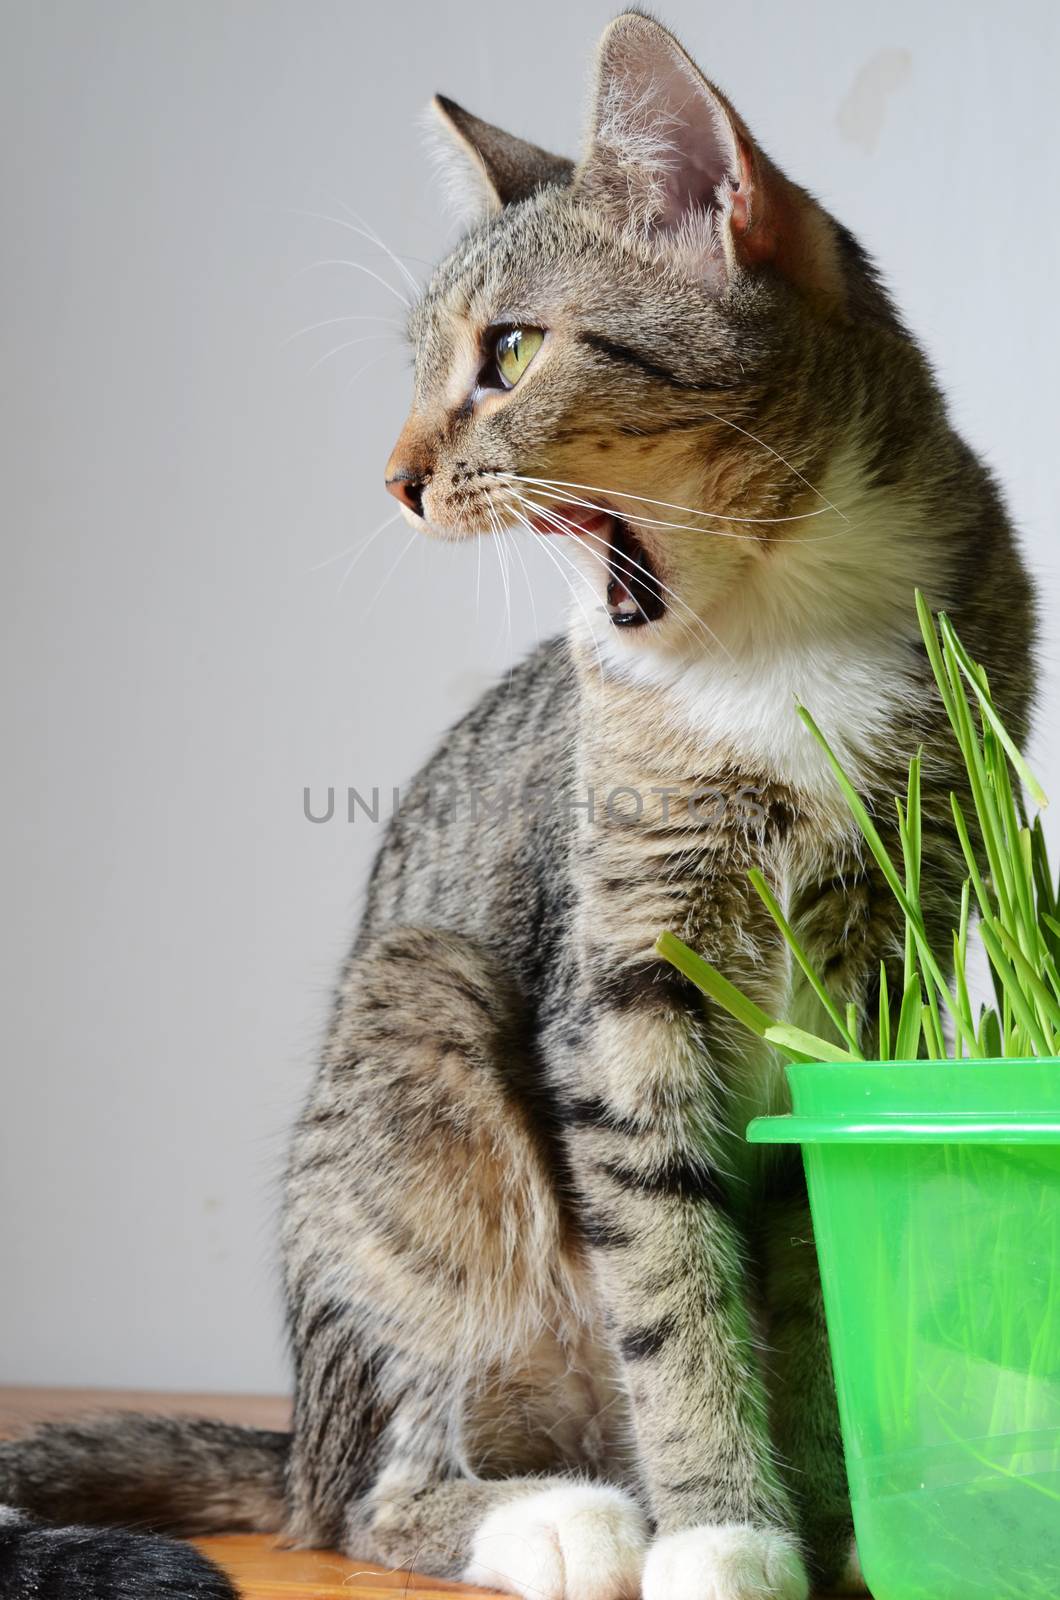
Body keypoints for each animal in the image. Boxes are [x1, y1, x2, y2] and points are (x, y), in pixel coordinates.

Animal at [0, 15, 1037, 1600]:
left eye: (511, 351)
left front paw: (836, 1509)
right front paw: (724, 1529)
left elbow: (803, 1268)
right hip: (420, 1019)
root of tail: (295, 1435)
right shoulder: (622, 970)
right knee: (368, 1495)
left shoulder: (890, 967)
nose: (394, 478)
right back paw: (558, 1514)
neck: (778, 623)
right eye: (431, 362)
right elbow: (667, 1269)